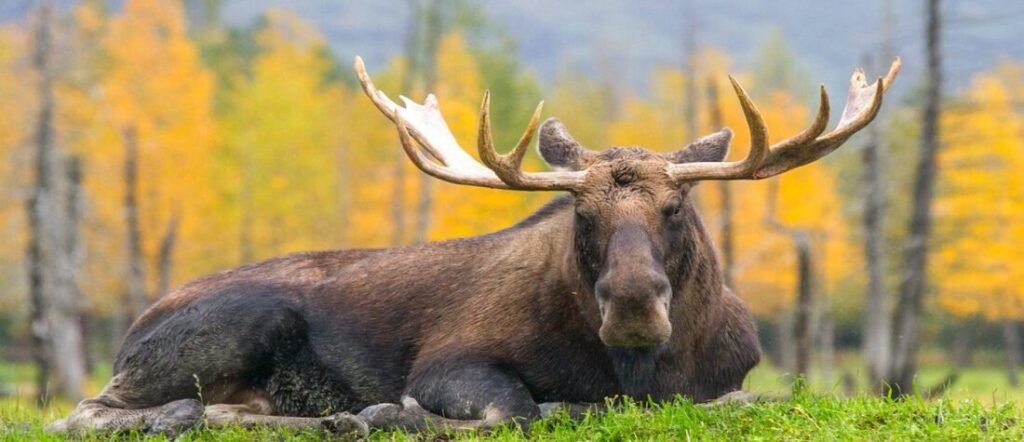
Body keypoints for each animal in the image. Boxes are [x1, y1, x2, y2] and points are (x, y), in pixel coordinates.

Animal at [48, 56, 900, 437]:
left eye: (676, 205)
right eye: (581, 213)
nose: (631, 304)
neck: (634, 368)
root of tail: (130, 331)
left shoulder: (727, 382)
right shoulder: (449, 360)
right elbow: (516, 409)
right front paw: (401, 409)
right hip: (242, 323)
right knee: (85, 410)